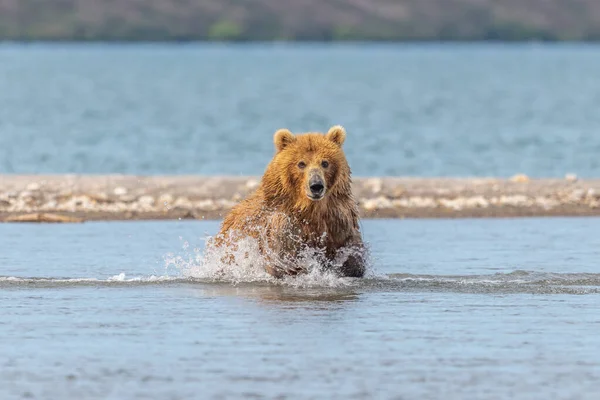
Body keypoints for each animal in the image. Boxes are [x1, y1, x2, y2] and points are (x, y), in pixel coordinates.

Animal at [206, 125, 366, 278]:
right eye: (301, 163)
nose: (316, 186)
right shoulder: (282, 225)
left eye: (325, 163)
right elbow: (283, 259)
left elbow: (351, 254)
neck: (310, 209)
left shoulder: (338, 219)